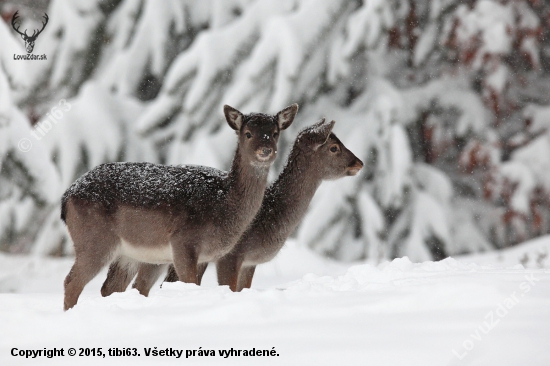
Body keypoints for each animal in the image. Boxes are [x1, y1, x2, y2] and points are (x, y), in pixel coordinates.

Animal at [62, 104, 300, 310]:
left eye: (275, 132)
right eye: (248, 133)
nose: (265, 150)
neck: (222, 203)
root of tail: (67, 197)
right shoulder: (184, 242)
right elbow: (190, 285)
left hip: (128, 253)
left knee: (110, 287)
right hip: (94, 239)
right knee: (72, 281)